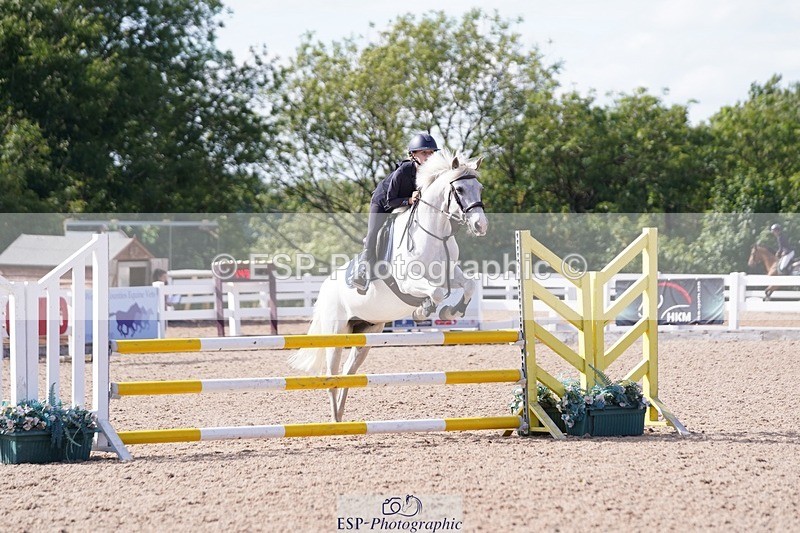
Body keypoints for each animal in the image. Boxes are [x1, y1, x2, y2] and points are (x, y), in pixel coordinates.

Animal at [287, 150, 488, 422]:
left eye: (480, 188)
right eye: (459, 189)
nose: (481, 226)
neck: (434, 234)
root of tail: (325, 288)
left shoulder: (449, 273)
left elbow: (468, 285)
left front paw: (450, 311)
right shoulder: (408, 281)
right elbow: (436, 292)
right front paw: (422, 311)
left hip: (366, 333)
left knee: (348, 374)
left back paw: (341, 419)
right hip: (336, 333)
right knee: (331, 377)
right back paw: (334, 422)